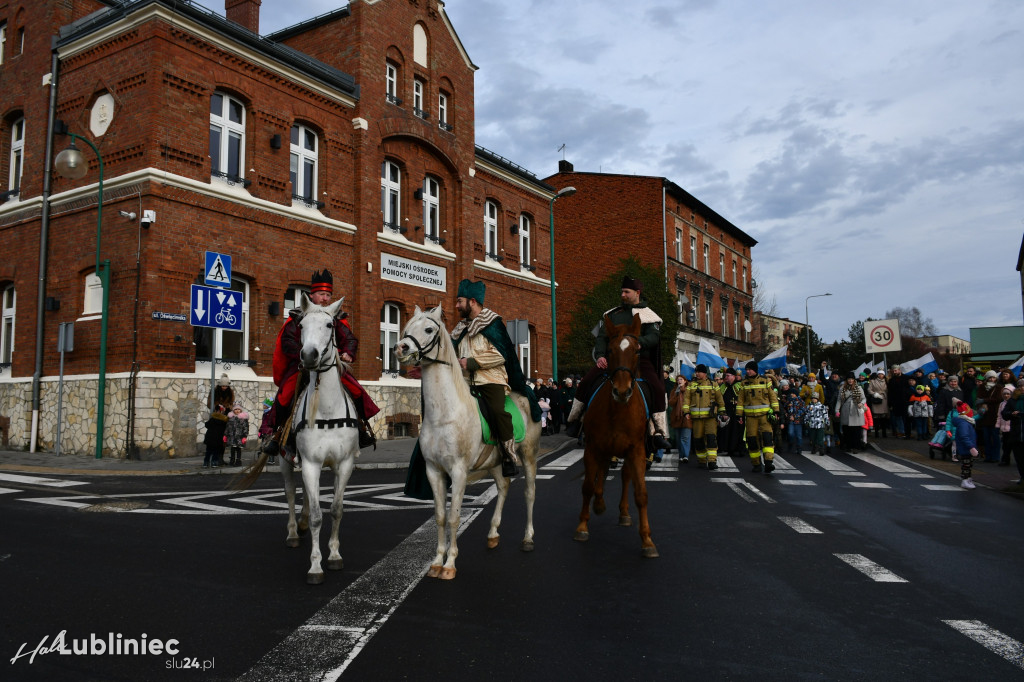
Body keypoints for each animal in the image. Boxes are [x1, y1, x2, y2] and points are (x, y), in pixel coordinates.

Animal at [284, 294, 364, 581]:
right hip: (286, 462)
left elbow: (336, 510)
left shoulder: (344, 464)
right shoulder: (310, 463)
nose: (308, 355)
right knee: (291, 493)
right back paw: (294, 532)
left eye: (330, 325)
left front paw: (335, 556)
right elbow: (318, 516)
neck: (328, 411)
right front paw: (316, 566)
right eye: (301, 325)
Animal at [393, 305, 544, 577]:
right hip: (496, 462)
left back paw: (528, 538)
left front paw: (450, 564)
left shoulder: (459, 471)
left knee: (529, 492)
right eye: (407, 327)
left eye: (428, 329)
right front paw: (436, 561)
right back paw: (493, 533)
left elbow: (454, 517)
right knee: (503, 487)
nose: (401, 348)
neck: (444, 413)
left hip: (528, 455)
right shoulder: (434, 471)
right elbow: (440, 516)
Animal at [573, 311, 659, 557]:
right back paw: (600, 504)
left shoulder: (637, 451)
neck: (618, 410)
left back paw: (624, 513)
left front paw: (647, 540)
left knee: (624, 476)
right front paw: (582, 526)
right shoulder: (592, 447)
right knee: (601, 474)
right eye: (610, 350)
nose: (622, 391)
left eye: (637, 351)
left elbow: (641, 493)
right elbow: (588, 486)